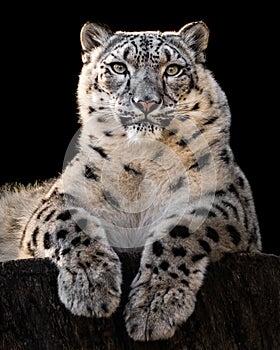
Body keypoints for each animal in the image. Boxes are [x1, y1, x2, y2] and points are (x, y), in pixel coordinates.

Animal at [0, 20, 262, 340]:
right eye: (118, 67)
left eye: (172, 69)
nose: (146, 102)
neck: (141, 162)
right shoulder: (59, 196)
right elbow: (65, 221)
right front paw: (92, 286)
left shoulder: (227, 198)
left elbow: (179, 233)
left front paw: (154, 307)